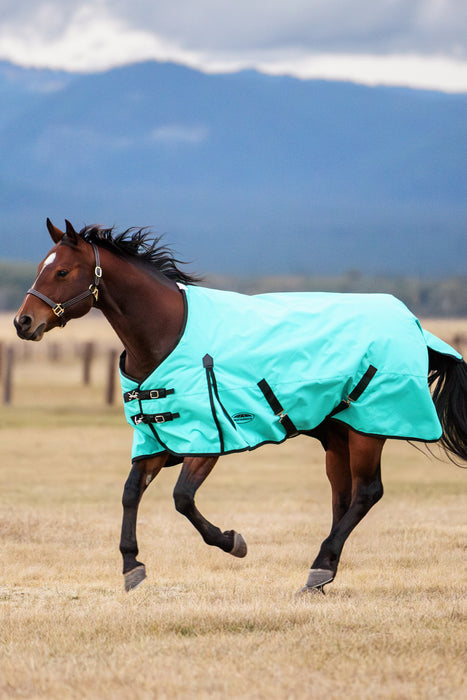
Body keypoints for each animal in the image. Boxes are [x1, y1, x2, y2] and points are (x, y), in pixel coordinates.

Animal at [14, 220, 467, 594]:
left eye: (62, 271)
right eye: (40, 266)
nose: (23, 322)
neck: (166, 334)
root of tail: (413, 322)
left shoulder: (207, 441)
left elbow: (182, 498)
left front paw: (233, 542)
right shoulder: (157, 441)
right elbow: (130, 494)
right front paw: (131, 567)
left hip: (366, 430)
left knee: (367, 493)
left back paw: (319, 567)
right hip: (337, 436)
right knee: (344, 497)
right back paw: (323, 572)